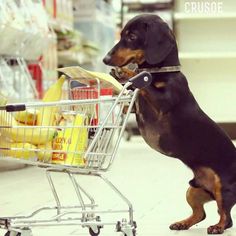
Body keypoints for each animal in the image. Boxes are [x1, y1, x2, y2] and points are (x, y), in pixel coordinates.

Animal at [103, 14, 236, 234]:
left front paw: (126, 73)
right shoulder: (133, 108)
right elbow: (129, 100)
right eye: (121, 34)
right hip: (193, 190)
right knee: (200, 213)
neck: (161, 71)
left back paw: (217, 226)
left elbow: (146, 84)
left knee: (226, 217)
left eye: (132, 36)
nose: (105, 60)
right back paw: (182, 223)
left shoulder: (163, 101)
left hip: (222, 187)